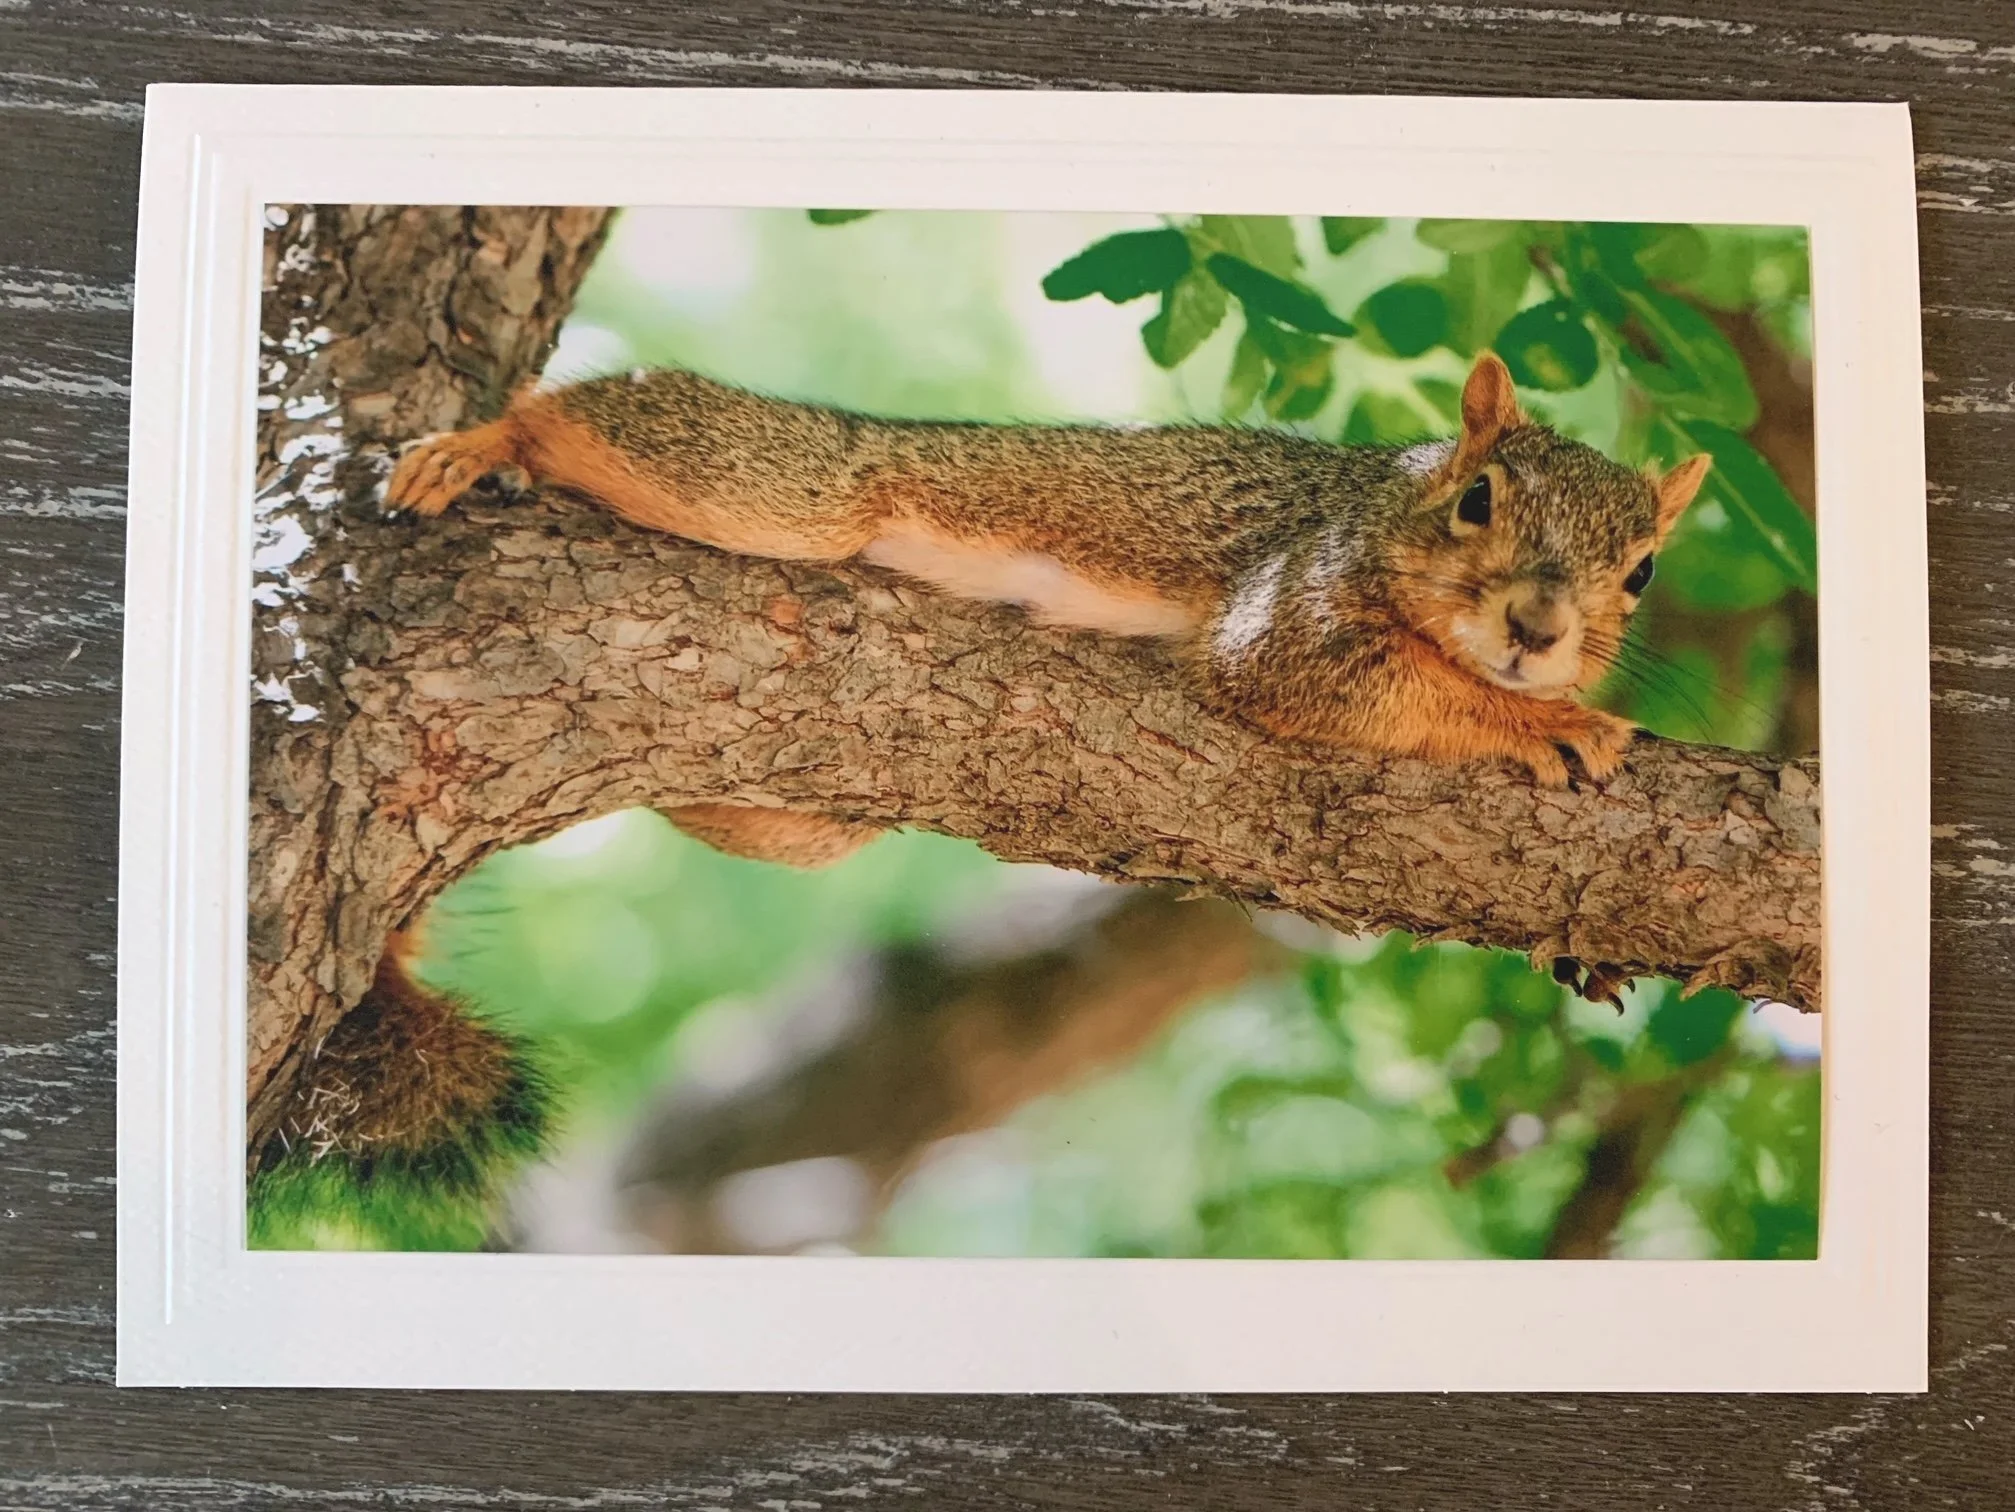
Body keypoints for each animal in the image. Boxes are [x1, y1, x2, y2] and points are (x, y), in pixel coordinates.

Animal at [254, 350, 1709, 1244]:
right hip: (791, 488)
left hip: (812, 806)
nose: (1536, 629)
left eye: (1641, 571)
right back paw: (476, 443)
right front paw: (1546, 721)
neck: (1380, 500)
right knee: (598, 414)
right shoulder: (1291, 607)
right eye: (1475, 500)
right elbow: (1348, 679)